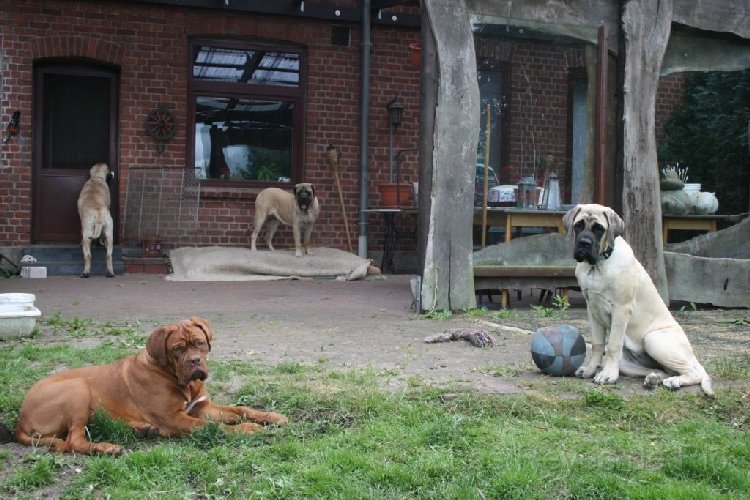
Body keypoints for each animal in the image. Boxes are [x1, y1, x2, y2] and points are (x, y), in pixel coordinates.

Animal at [18, 318, 288, 456]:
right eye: (178, 349)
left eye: (200, 343)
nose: (195, 361)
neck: (177, 378)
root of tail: (20, 419)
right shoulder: (175, 417)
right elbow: (210, 425)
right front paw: (248, 429)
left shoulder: (201, 407)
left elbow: (240, 409)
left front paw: (272, 416)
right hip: (78, 388)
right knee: (73, 441)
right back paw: (108, 447)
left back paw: (144, 430)